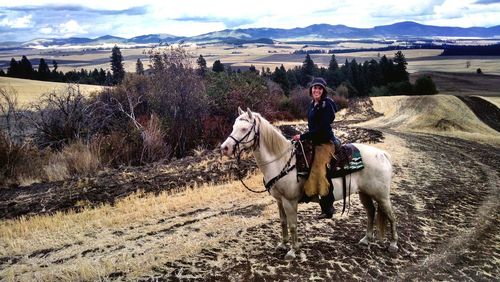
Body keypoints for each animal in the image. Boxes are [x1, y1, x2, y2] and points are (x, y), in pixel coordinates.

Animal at [220, 108, 398, 260]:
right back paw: (366, 239)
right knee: (371, 212)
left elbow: (292, 225)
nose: (225, 148)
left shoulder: (290, 201)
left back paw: (393, 244)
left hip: (381, 196)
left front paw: (293, 251)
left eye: (244, 129)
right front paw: (283, 244)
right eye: (234, 127)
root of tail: (383, 154)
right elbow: (283, 222)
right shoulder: (279, 200)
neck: (281, 161)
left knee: (391, 215)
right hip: (364, 193)